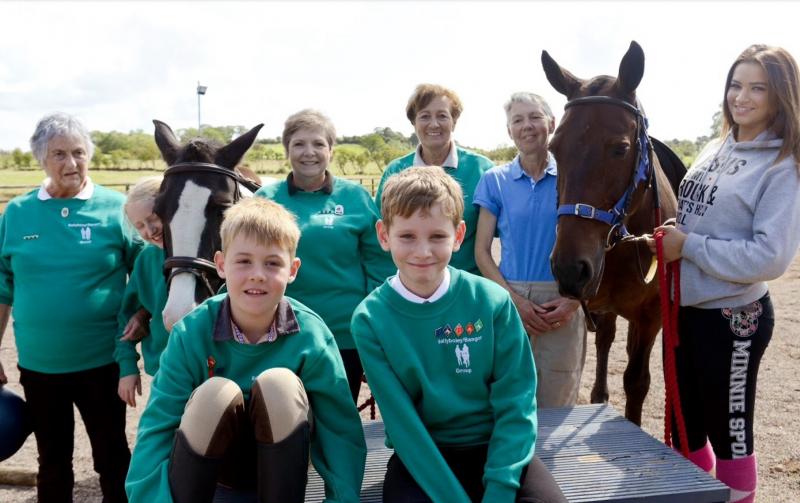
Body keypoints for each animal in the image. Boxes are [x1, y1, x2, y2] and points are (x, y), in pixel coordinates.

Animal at [540, 42, 684, 426]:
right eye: (554, 148)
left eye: (620, 148)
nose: (569, 268)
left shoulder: (651, 316)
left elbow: (636, 382)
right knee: (605, 340)